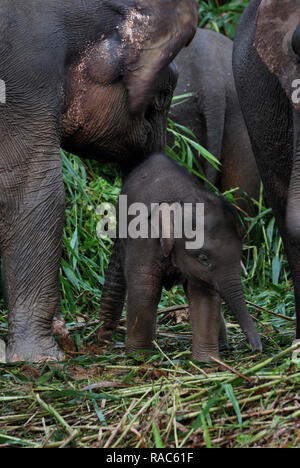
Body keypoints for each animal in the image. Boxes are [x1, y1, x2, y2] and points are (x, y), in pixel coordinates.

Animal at [99, 154, 262, 362]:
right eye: (203, 258)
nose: (257, 350)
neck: (181, 200)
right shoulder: (144, 239)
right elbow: (145, 288)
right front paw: (139, 357)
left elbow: (204, 295)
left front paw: (206, 361)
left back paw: (222, 345)